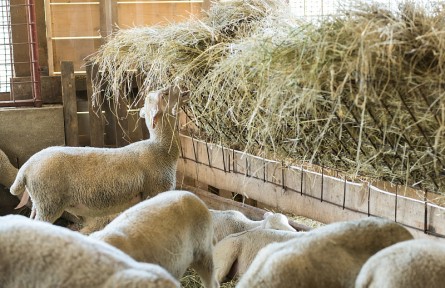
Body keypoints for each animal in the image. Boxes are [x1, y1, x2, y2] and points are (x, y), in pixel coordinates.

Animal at [8, 85, 186, 223]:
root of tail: (25, 168)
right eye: (165, 94)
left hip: (39, 202)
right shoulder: (155, 191)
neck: (160, 148)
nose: (182, 89)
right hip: (49, 202)